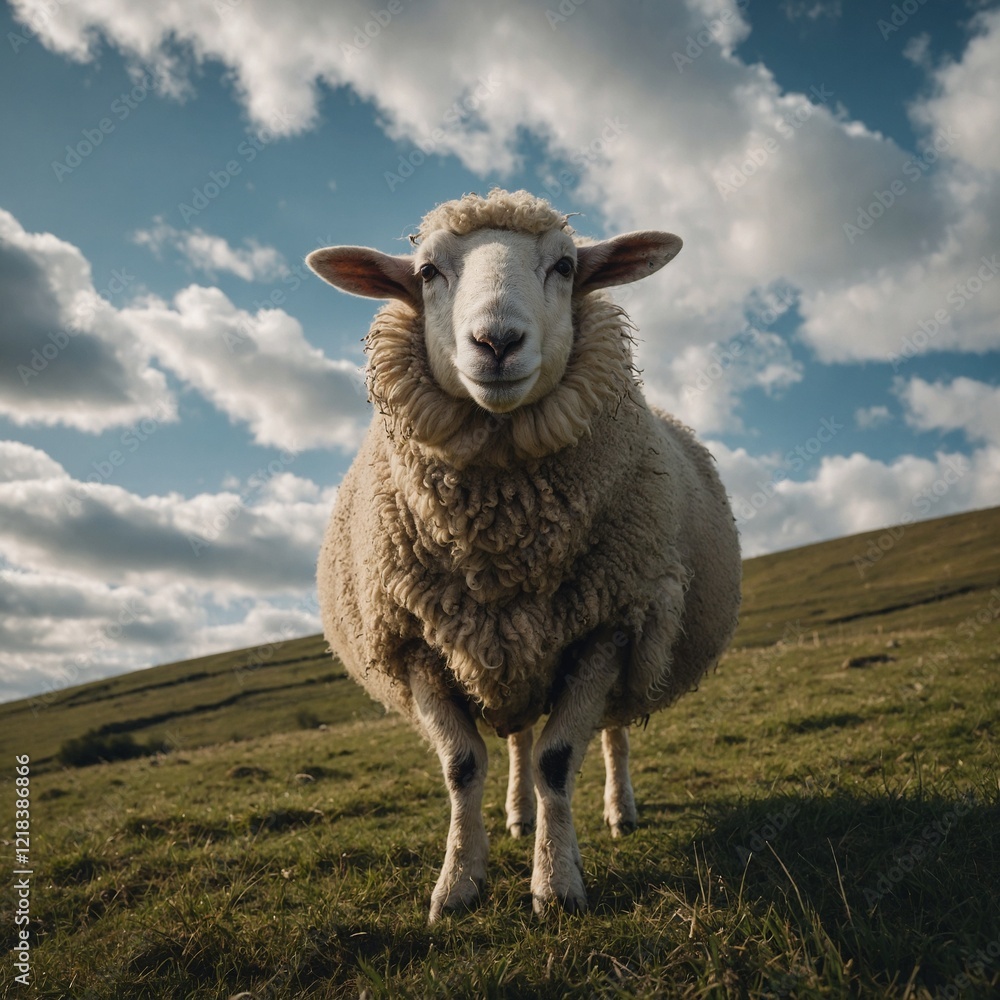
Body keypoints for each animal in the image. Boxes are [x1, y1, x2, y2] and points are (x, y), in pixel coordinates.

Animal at [307, 189, 741, 921]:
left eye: (565, 266)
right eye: (426, 272)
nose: (497, 343)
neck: (499, 544)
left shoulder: (606, 628)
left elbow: (558, 759)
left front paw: (557, 886)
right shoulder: (413, 639)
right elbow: (463, 767)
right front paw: (457, 883)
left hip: (636, 634)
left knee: (610, 731)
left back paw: (618, 810)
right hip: (508, 651)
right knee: (514, 736)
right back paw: (518, 816)